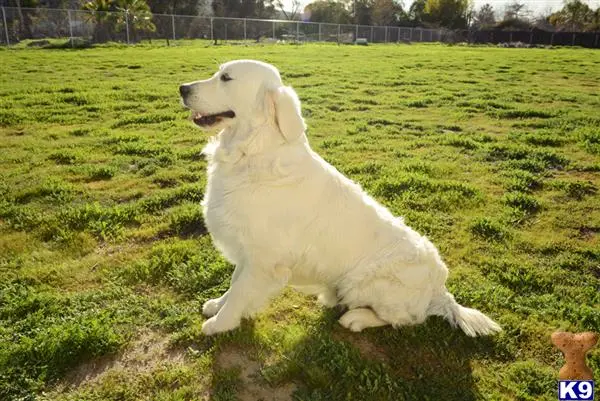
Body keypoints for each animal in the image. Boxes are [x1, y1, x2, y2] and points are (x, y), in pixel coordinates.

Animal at [179, 58, 502, 334]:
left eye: (226, 78)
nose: (182, 88)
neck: (253, 150)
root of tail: (440, 290)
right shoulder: (246, 250)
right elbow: (234, 283)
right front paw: (217, 305)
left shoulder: (264, 259)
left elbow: (240, 293)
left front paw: (220, 324)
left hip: (362, 283)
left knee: (404, 320)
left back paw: (356, 318)